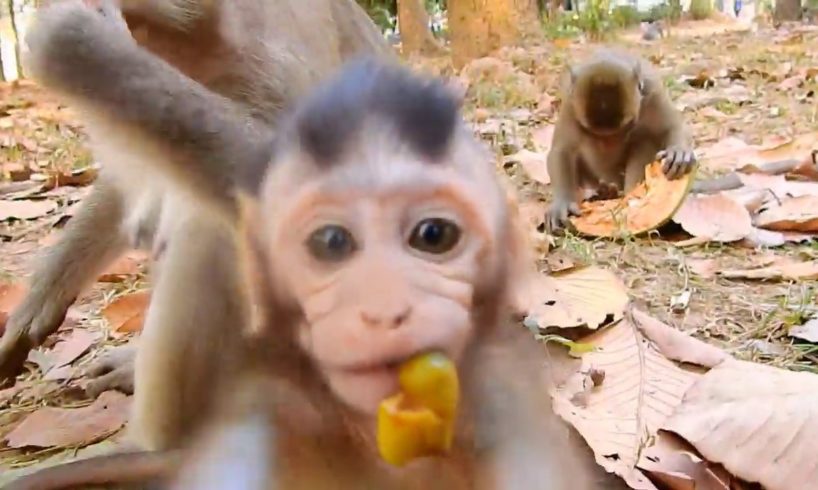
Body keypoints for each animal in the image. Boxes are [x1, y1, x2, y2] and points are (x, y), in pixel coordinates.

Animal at [540, 49, 696, 232]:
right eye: (592, 133)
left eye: (626, 127)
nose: (608, 148)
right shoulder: (570, 103)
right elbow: (562, 150)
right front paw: (562, 203)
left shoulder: (652, 92)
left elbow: (669, 128)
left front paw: (679, 152)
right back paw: (606, 193)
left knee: (644, 139)